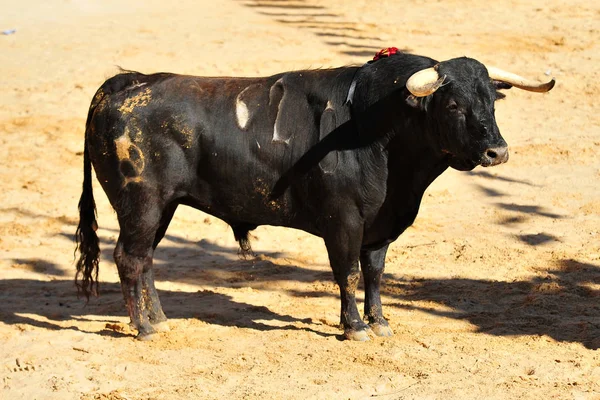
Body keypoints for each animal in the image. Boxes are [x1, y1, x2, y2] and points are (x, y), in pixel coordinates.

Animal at [77, 52, 556, 340]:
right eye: (453, 105)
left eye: (491, 101)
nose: (498, 151)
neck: (378, 129)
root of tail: (129, 83)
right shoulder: (342, 222)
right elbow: (347, 273)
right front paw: (354, 327)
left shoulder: (379, 227)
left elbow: (375, 274)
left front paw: (379, 323)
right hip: (141, 203)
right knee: (129, 258)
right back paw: (143, 328)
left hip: (164, 207)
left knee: (145, 259)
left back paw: (160, 320)